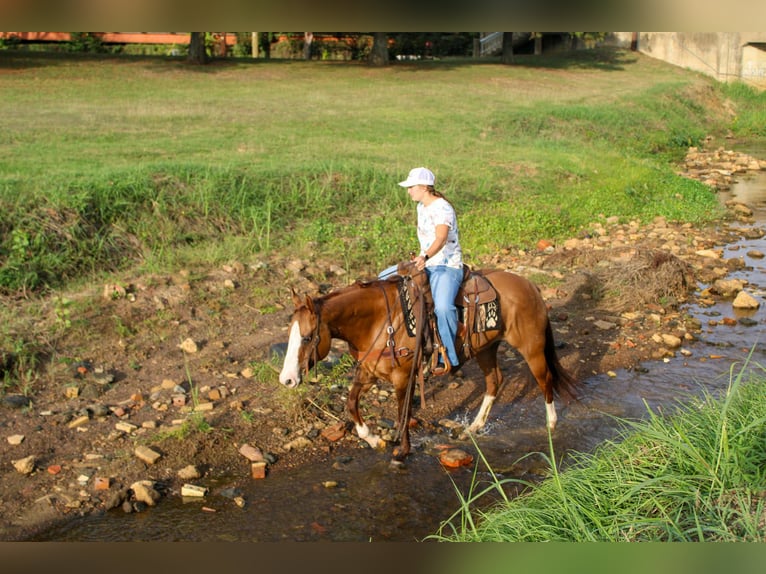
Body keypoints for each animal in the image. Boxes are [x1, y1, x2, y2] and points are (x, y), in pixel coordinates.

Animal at [278, 261, 579, 461]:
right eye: (290, 334)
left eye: (307, 337)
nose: (287, 380)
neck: (379, 321)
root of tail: (530, 286)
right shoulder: (369, 371)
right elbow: (351, 403)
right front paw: (373, 439)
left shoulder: (402, 376)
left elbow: (403, 412)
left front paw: (402, 451)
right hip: (486, 348)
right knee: (495, 381)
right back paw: (473, 428)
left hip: (531, 347)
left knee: (544, 379)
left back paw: (551, 425)